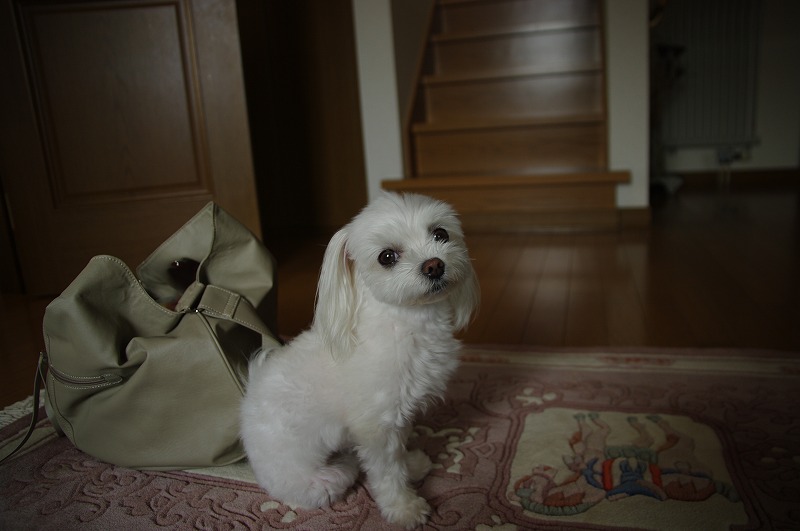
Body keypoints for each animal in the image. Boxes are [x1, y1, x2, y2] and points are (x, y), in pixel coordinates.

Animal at [240, 192, 479, 528]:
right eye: (387, 257)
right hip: (324, 480)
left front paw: (412, 464)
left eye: (440, 234)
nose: (434, 265)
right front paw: (404, 508)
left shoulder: (398, 415)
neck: (405, 321)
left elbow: (400, 452)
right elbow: (387, 472)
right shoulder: (376, 426)